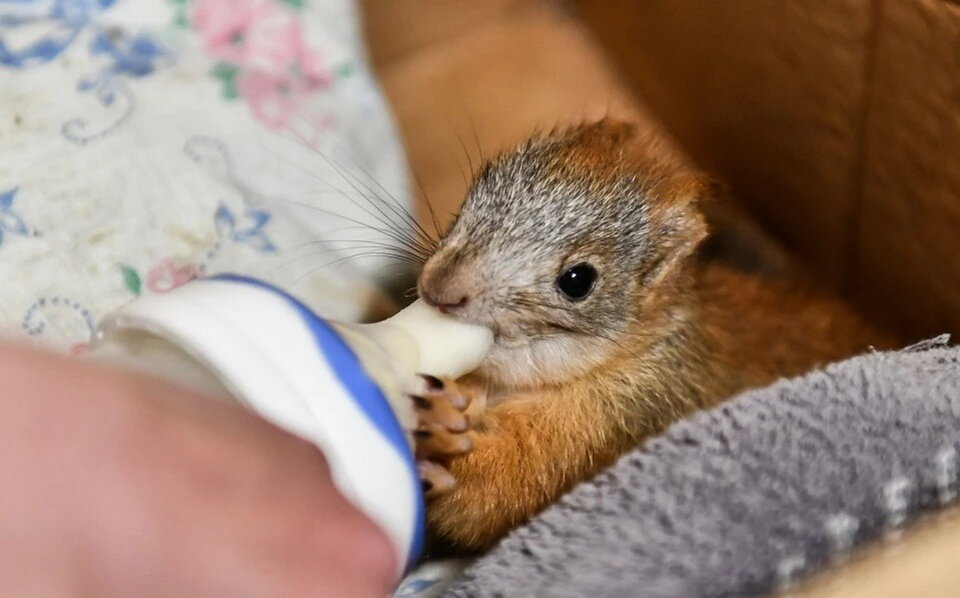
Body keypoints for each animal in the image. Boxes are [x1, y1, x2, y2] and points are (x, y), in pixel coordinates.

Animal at [412, 119, 892, 556]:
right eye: (477, 190)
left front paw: (436, 432)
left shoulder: (611, 424)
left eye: (578, 280)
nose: (440, 287)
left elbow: (492, 494)